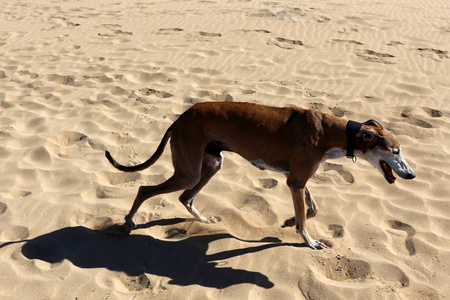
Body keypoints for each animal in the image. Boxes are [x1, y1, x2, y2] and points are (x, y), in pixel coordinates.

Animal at [105, 102, 414, 250]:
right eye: (395, 151)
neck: (330, 130)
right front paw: (309, 241)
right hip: (189, 171)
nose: (411, 174)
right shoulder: (295, 181)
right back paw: (128, 223)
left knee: (186, 197)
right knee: (145, 189)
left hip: (211, 164)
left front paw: (290, 221)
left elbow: (311, 209)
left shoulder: (297, 178)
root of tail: (180, 117)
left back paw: (204, 220)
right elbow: (305, 219)